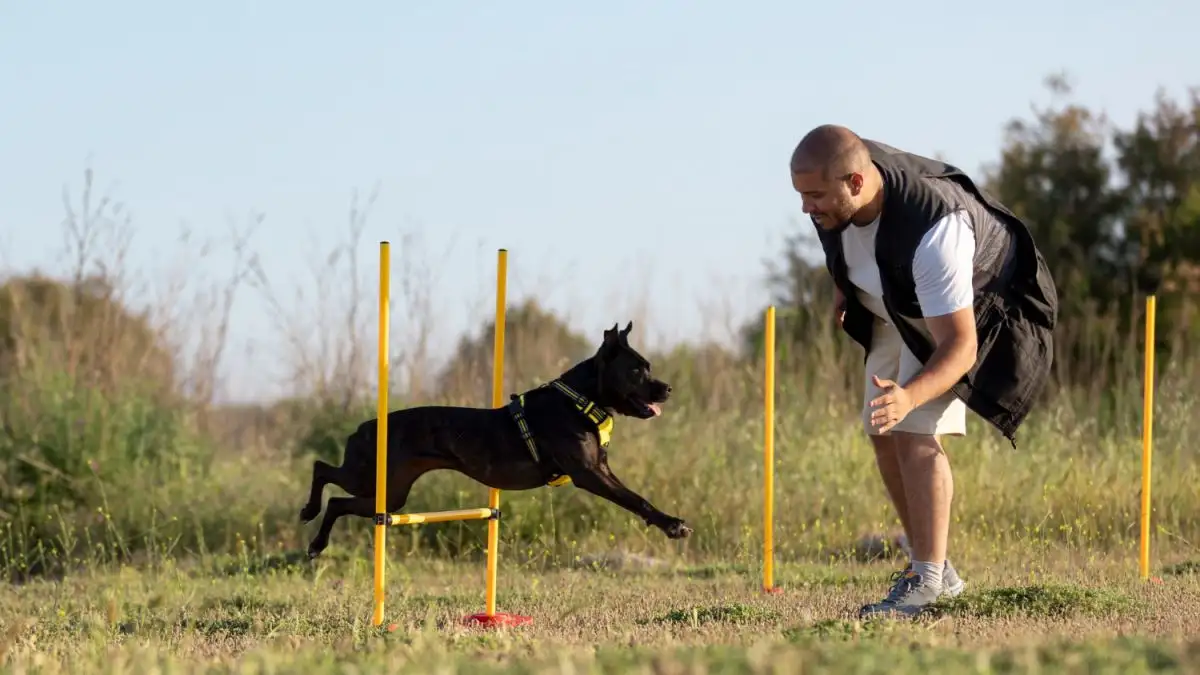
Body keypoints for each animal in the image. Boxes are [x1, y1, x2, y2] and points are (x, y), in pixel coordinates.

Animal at [302, 319, 696, 557]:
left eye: (648, 367)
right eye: (636, 370)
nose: (668, 388)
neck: (579, 399)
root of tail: (364, 427)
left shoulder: (601, 468)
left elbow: (636, 496)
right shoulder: (589, 475)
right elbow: (636, 498)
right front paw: (673, 525)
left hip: (391, 494)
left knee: (338, 501)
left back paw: (317, 540)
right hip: (371, 477)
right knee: (323, 470)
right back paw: (309, 517)